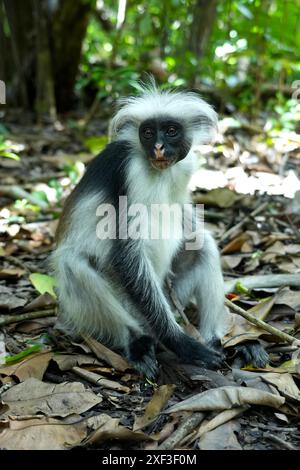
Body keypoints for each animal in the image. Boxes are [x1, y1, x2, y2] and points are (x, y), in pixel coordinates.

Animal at [50, 81, 268, 378]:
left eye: (171, 131)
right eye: (148, 132)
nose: (158, 147)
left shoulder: (183, 167)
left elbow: (189, 223)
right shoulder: (129, 169)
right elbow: (125, 254)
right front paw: (180, 343)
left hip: (172, 293)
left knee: (203, 245)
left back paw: (218, 342)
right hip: (126, 304)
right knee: (73, 262)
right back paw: (138, 342)